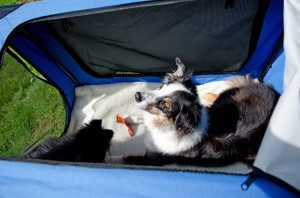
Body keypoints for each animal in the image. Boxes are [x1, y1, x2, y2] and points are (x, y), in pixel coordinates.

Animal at [123, 57, 280, 167]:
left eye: (166, 105)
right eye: (162, 86)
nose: (137, 95)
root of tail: (275, 95)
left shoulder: (154, 159)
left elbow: (128, 157)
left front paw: (123, 158)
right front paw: (133, 118)